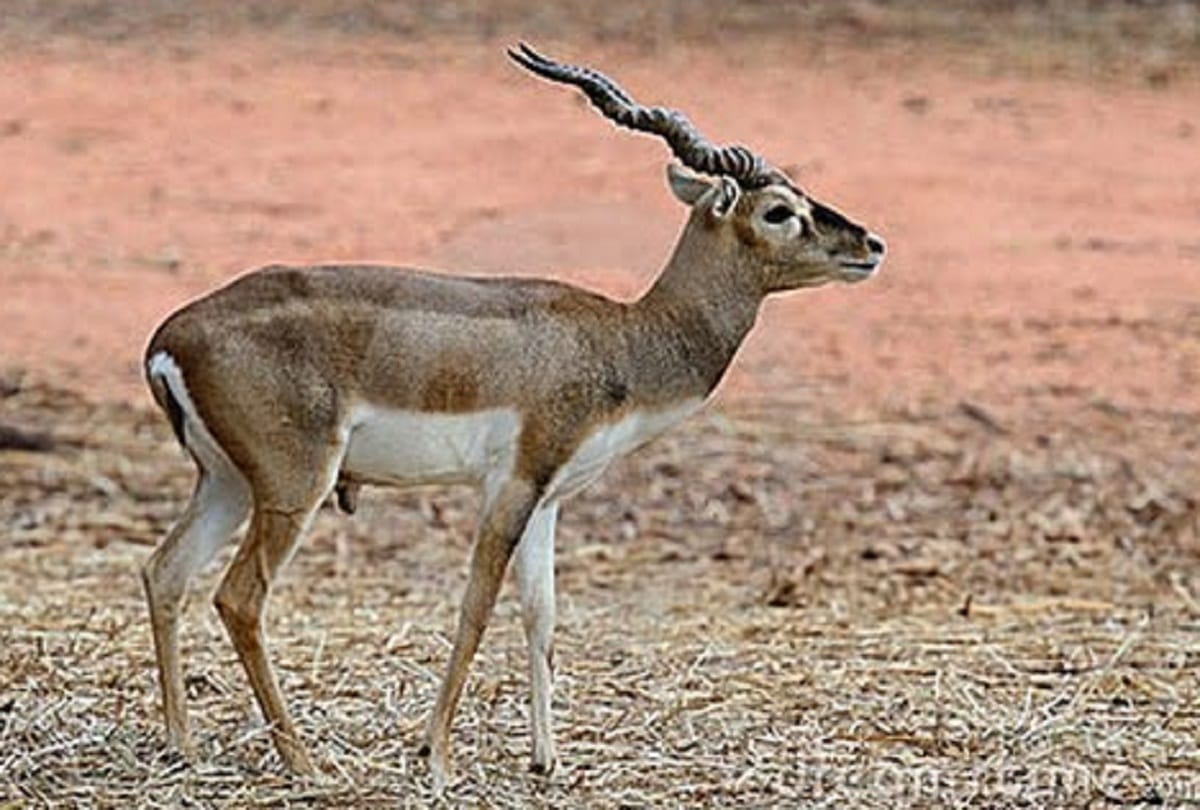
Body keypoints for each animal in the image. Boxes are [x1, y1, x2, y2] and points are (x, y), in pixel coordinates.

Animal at [140, 43, 885, 789]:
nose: (870, 244)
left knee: (164, 571)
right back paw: (303, 761)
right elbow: (476, 608)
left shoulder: (549, 499)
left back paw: (183, 745)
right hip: (296, 488)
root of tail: (169, 338)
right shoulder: (513, 483)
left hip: (229, 484)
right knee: (240, 597)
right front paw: (436, 757)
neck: (623, 339)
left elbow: (541, 616)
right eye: (780, 211)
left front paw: (546, 759)